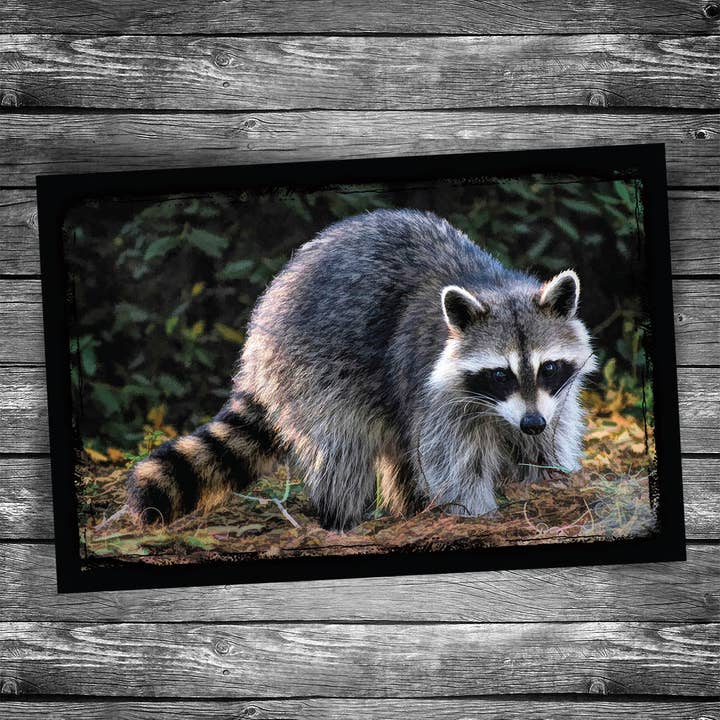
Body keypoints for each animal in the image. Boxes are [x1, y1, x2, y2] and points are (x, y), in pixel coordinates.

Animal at [126, 209, 597, 531]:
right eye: (500, 374)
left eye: (548, 367)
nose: (531, 423)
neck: (492, 285)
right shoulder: (433, 387)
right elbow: (453, 459)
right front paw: (474, 511)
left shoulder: (553, 399)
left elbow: (546, 442)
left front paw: (547, 484)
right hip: (313, 367)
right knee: (342, 446)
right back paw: (340, 518)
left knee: (400, 448)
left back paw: (407, 508)